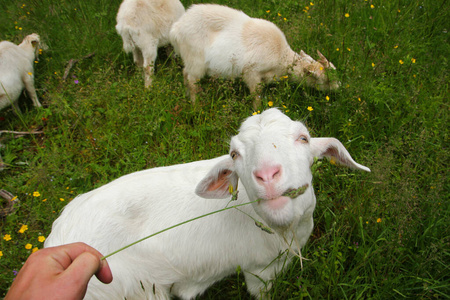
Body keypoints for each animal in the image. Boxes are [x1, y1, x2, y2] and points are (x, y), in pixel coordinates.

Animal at [44, 108, 370, 300]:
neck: (286, 232)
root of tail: (57, 238)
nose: (267, 174)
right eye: (235, 154)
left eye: (304, 138)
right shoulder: (260, 272)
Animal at [171, 4, 340, 108]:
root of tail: (176, 28)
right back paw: (196, 105)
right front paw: (256, 112)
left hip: (190, 60)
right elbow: (256, 96)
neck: (282, 56)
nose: (339, 88)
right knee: (192, 80)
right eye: (326, 80)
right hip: (196, 60)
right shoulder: (251, 72)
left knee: (185, 74)